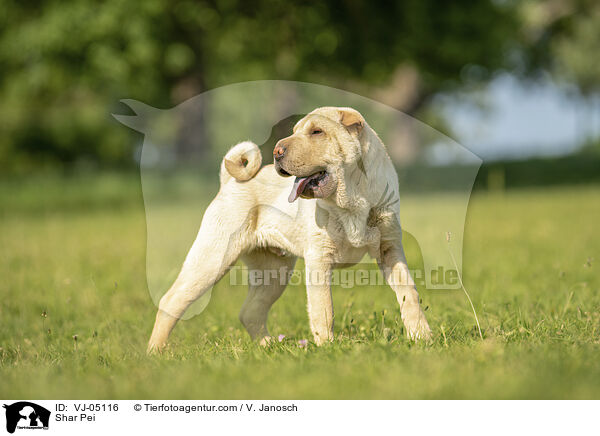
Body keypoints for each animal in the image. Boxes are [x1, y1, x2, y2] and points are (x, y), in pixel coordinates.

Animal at [149, 107, 432, 352]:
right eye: (296, 131)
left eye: (317, 132)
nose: (277, 151)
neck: (353, 198)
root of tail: (228, 181)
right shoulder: (319, 259)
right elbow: (323, 309)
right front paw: (328, 348)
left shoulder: (390, 250)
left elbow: (409, 295)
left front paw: (422, 337)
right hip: (212, 259)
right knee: (171, 301)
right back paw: (156, 352)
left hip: (274, 272)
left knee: (250, 312)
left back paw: (269, 346)